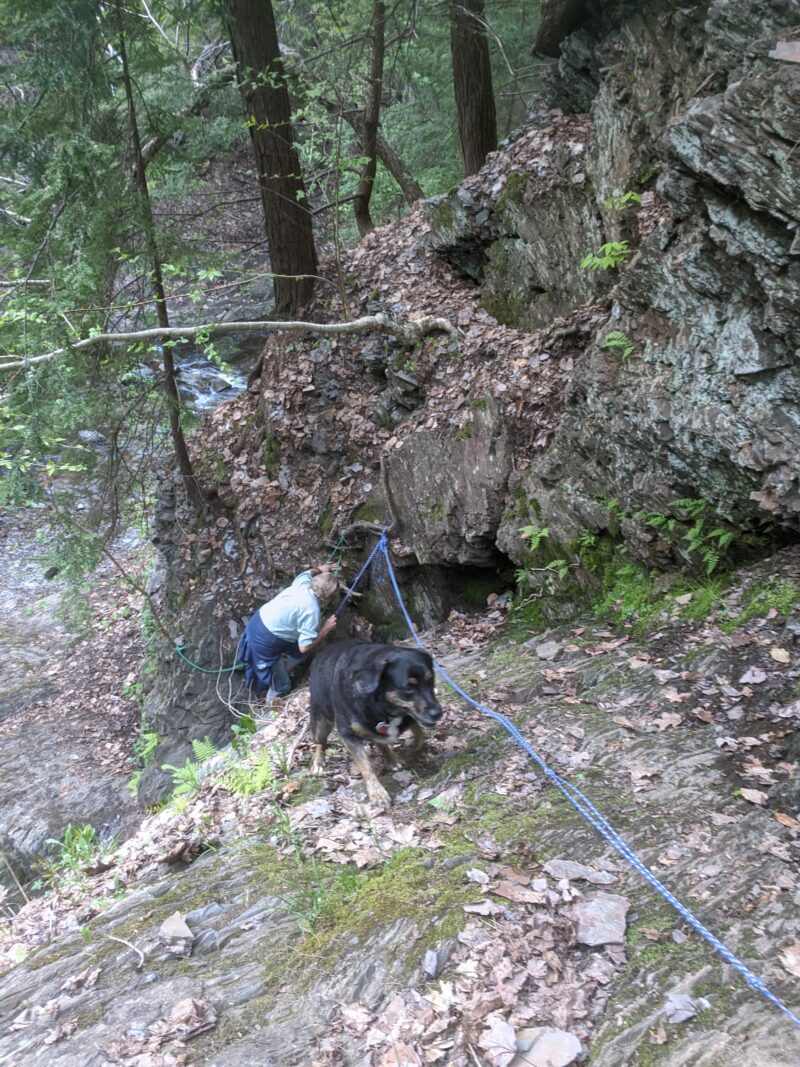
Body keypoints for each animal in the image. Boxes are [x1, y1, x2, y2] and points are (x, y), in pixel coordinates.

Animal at [309, 640, 445, 806]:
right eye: (408, 687)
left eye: (430, 680)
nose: (437, 713)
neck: (381, 704)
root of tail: (321, 652)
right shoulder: (348, 735)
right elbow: (366, 766)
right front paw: (377, 793)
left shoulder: (409, 718)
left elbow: (420, 737)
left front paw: (412, 753)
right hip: (321, 722)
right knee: (320, 743)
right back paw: (318, 763)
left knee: (380, 742)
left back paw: (392, 759)